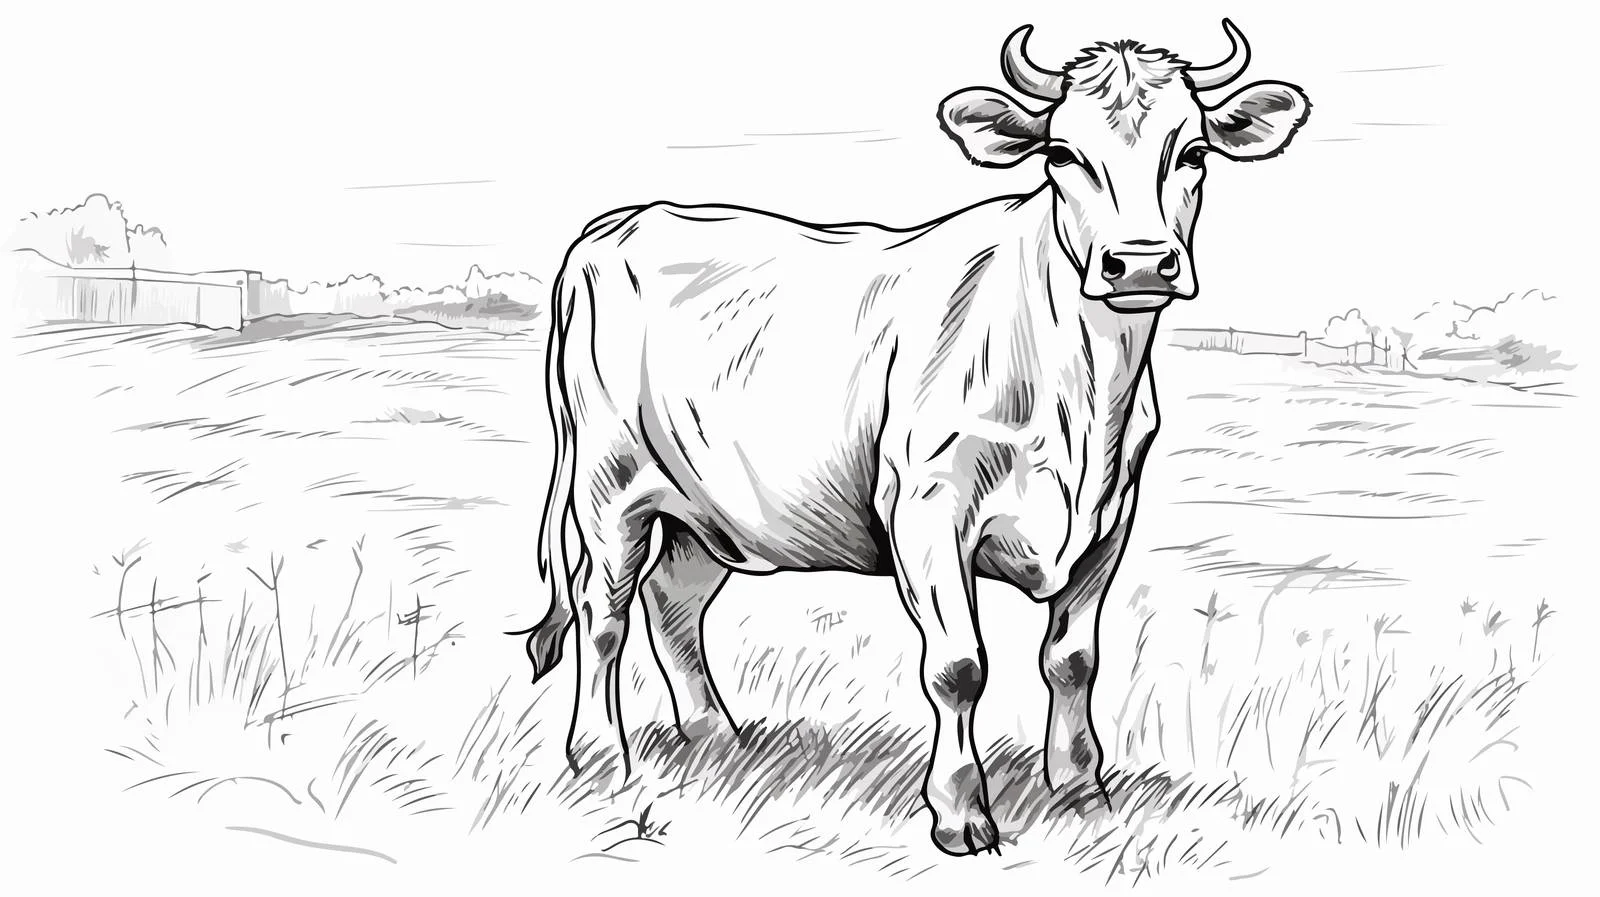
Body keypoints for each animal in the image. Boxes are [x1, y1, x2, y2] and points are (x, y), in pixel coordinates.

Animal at [518, 20, 1309, 855]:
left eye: (1193, 153)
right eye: (1063, 155)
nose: (1141, 264)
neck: (1083, 390)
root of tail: (621, 222)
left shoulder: (1109, 519)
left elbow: (1074, 660)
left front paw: (1082, 793)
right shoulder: (926, 508)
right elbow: (959, 666)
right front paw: (962, 812)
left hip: (706, 507)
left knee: (674, 603)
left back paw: (717, 739)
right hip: (609, 483)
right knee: (602, 613)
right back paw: (603, 760)